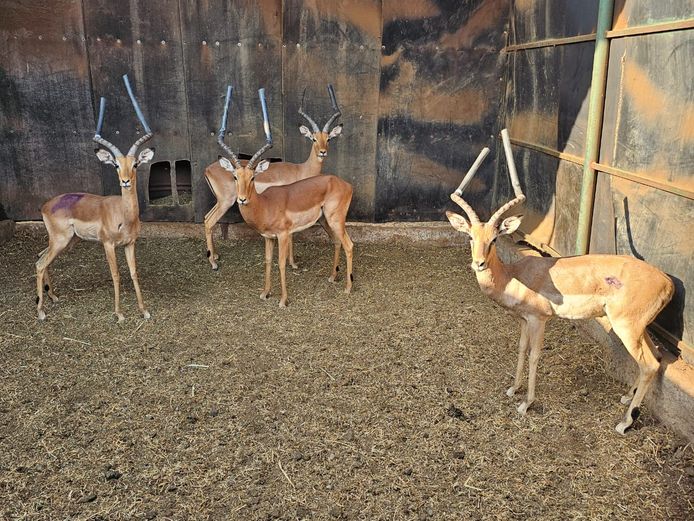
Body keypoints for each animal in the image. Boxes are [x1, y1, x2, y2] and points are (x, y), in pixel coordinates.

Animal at [36, 74, 155, 323]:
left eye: (135, 164)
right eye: (116, 165)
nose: (125, 181)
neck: (124, 215)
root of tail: (46, 205)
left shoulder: (130, 243)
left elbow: (133, 272)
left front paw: (144, 310)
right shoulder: (108, 244)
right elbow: (116, 274)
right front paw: (119, 314)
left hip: (67, 241)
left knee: (40, 257)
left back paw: (53, 297)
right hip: (61, 240)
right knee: (40, 263)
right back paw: (41, 311)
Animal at [216, 87, 353, 307]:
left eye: (253, 177)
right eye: (235, 176)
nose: (242, 199)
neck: (264, 205)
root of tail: (344, 183)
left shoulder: (283, 235)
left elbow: (280, 264)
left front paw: (283, 300)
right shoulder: (268, 238)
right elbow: (267, 261)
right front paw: (265, 293)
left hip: (335, 220)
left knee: (349, 245)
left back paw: (348, 288)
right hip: (325, 220)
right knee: (337, 242)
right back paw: (333, 277)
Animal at [445, 129, 674, 435]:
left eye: (494, 239)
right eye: (471, 236)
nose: (478, 263)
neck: (514, 275)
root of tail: (667, 281)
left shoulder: (539, 319)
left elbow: (534, 355)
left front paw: (526, 404)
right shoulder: (523, 320)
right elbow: (521, 349)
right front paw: (512, 389)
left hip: (627, 326)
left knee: (649, 364)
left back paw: (625, 422)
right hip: (639, 327)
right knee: (657, 358)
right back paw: (628, 399)